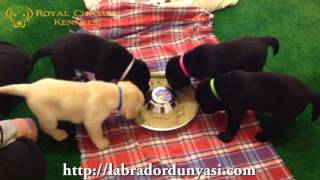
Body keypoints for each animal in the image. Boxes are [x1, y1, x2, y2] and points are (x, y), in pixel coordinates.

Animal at [0, 78, 144, 150]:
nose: (138, 116)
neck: (116, 93)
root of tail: (30, 88)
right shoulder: (92, 122)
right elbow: (96, 133)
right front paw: (101, 143)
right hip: (49, 118)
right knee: (45, 127)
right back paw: (58, 134)